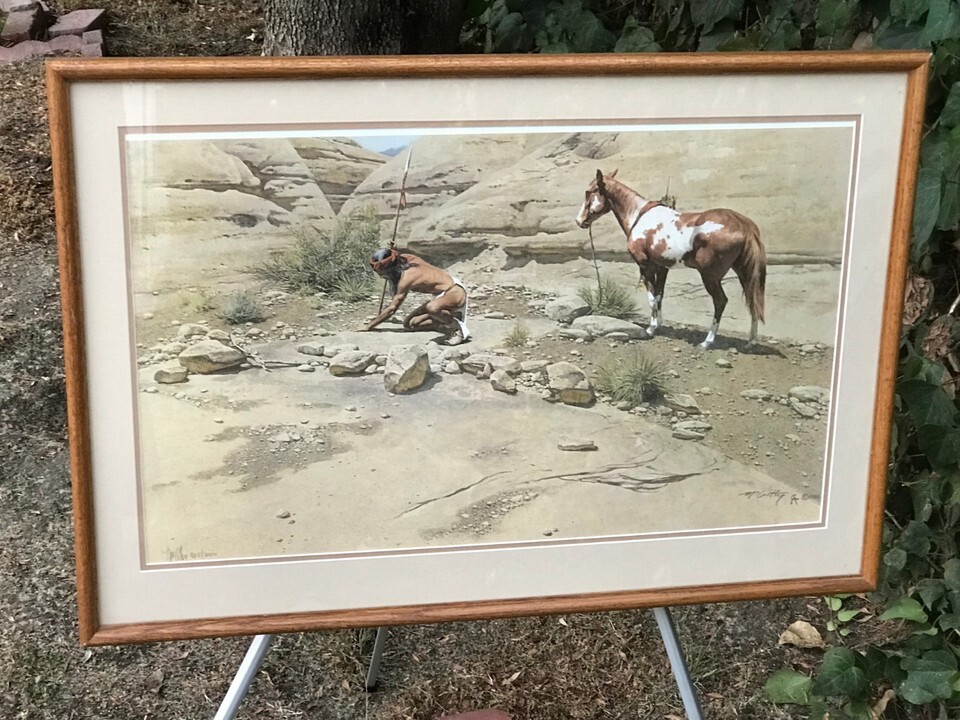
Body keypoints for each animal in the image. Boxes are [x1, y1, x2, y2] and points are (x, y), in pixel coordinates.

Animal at [575, 169, 766, 349]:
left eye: (588, 192)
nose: (579, 221)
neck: (640, 216)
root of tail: (744, 225)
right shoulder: (662, 268)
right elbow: (659, 295)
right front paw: (658, 324)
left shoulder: (645, 266)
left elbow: (652, 297)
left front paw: (651, 329)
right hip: (744, 273)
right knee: (752, 300)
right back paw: (751, 342)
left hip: (710, 277)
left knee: (720, 302)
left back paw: (707, 342)